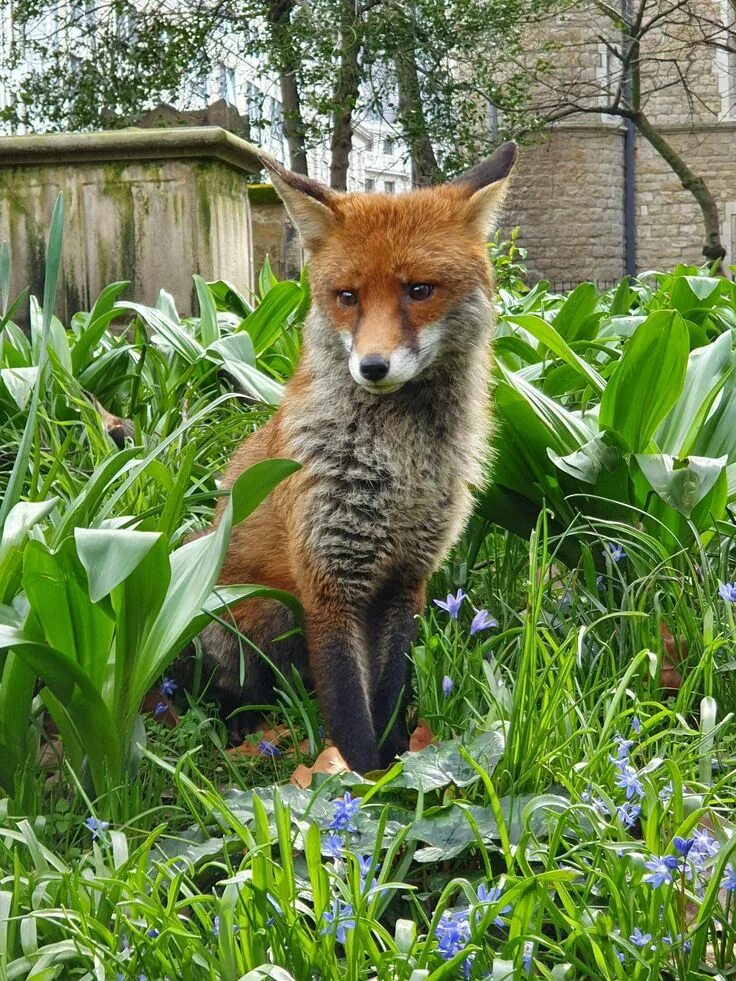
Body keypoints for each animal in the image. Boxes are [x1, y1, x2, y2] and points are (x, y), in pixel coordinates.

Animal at [193, 140, 520, 772]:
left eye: (419, 290)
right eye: (347, 298)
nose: (372, 367)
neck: (400, 465)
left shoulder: (406, 581)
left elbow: (389, 694)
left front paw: (396, 768)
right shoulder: (328, 582)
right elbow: (349, 709)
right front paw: (361, 783)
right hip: (255, 613)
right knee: (228, 688)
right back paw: (241, 724)